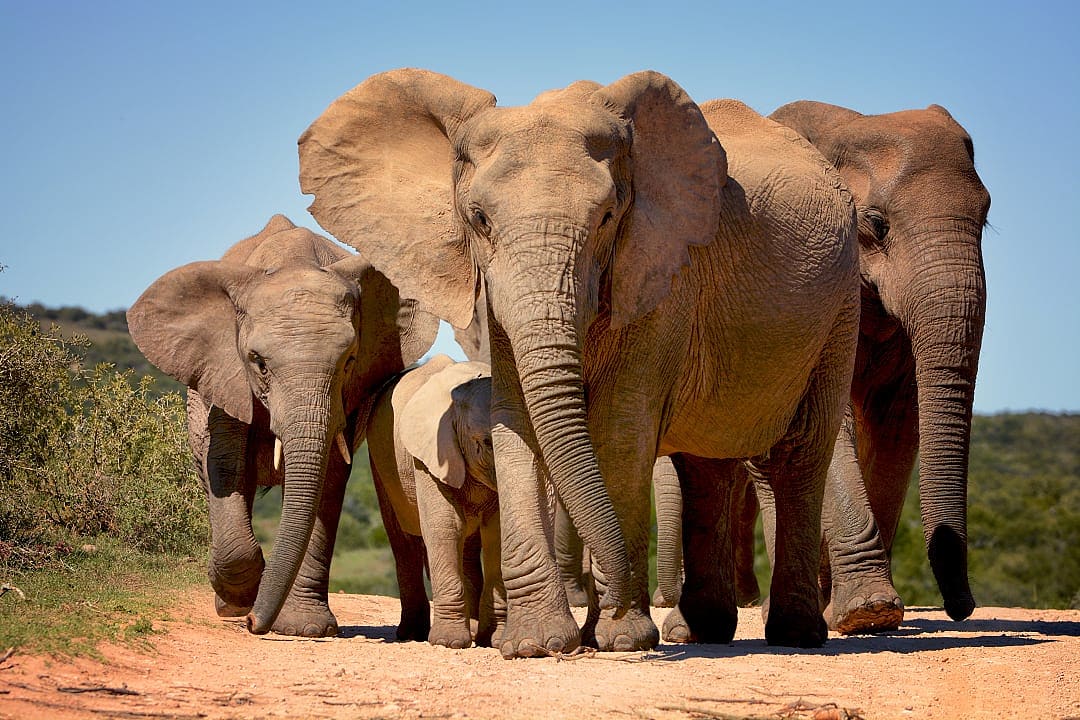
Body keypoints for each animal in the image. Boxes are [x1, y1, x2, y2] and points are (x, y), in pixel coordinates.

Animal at [127, 214, 438, 636]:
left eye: (349, 360)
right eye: (258, 362)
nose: (254, 622)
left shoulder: (351, 392)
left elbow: (328, 476)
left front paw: (303, 628)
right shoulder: (224, 371)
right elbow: (224, 462)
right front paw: (241, 600)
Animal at [365, 354, 505, 648]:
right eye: (486, 442)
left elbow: (496, 532)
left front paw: (494, 640)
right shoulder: (428, 458)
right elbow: (445, 526)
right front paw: (449, 642)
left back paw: (473, 630)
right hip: (382, 464)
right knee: (403, 540)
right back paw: (412, 634)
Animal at [758, 101, 991, 632]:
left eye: (986, 219)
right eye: (877, 224)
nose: (962, 607)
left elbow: (897, 424)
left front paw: (866, 613)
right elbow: (831, 419)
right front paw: (869, 611)